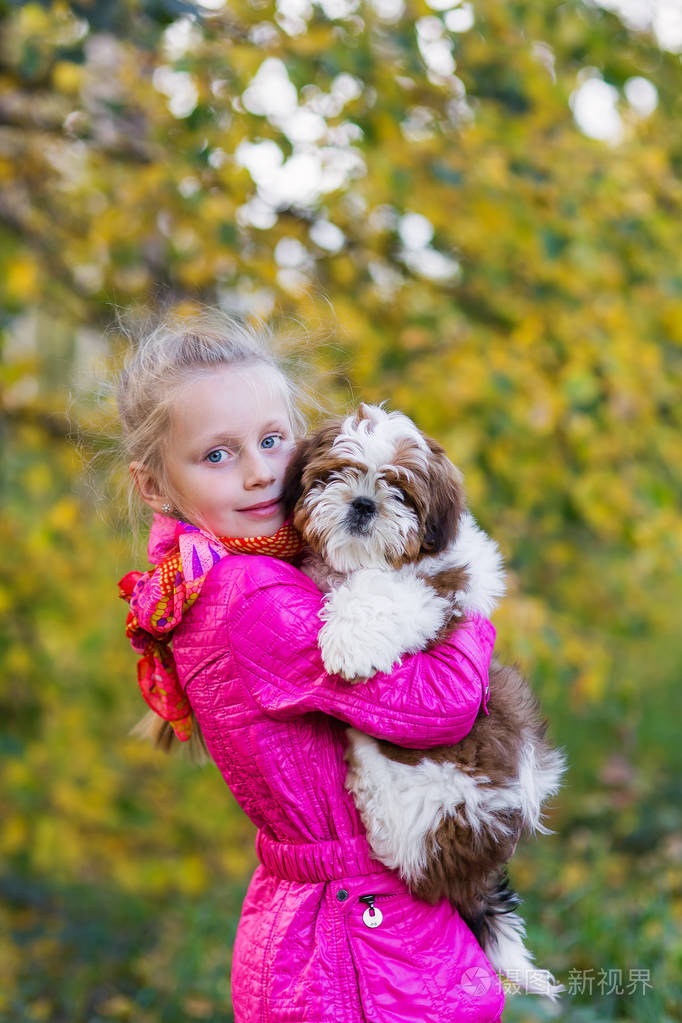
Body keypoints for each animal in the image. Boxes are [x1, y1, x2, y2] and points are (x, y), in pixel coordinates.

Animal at [282, 401, 564, 998]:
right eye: (337, 473)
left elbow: (385, 592)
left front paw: (346, 641)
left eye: (398, 489)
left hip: (431, 803)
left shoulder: (437, 589)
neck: (353, 561)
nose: (364, 503)